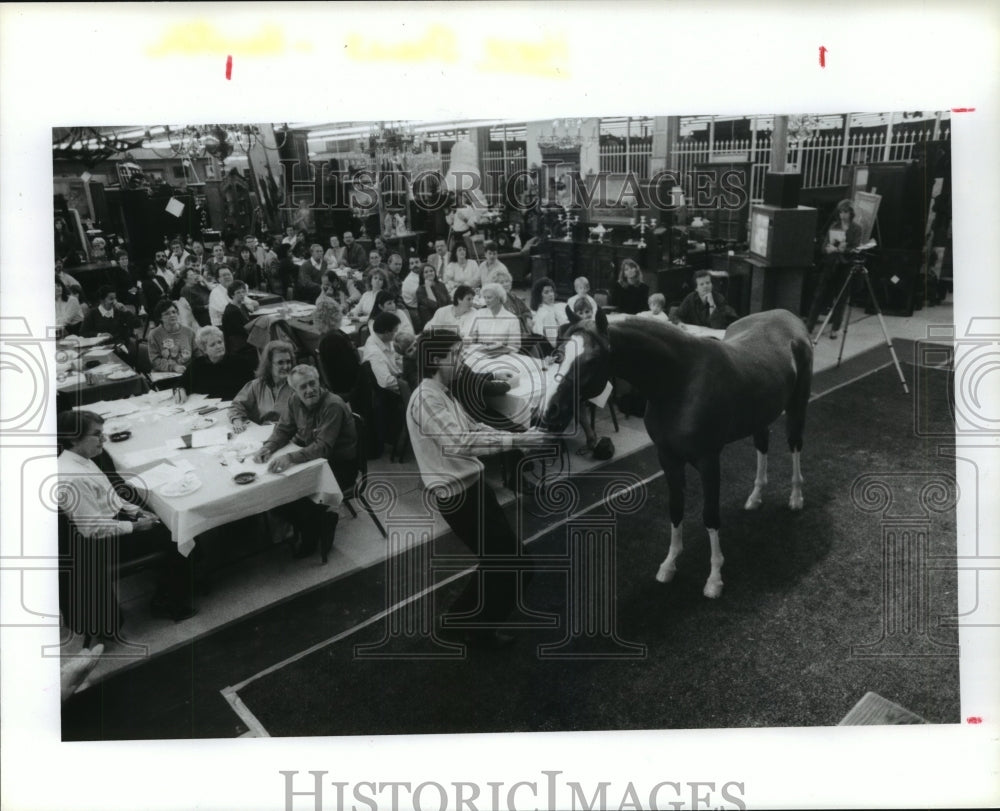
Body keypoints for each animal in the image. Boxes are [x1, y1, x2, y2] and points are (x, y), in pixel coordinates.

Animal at [540, 310, 812, 596]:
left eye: (591, 360)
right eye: (558, 354)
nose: (551, 411)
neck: (679, 381)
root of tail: (790, 317)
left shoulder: (708, 461)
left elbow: (710, 515)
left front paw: (714, 578)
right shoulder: (668, 458)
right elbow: (675, 509)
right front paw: (669, 564)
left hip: (797, 407)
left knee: (795, 444)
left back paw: (796, 497)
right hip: (760, 416)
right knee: (762, 445)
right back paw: (755, 496)